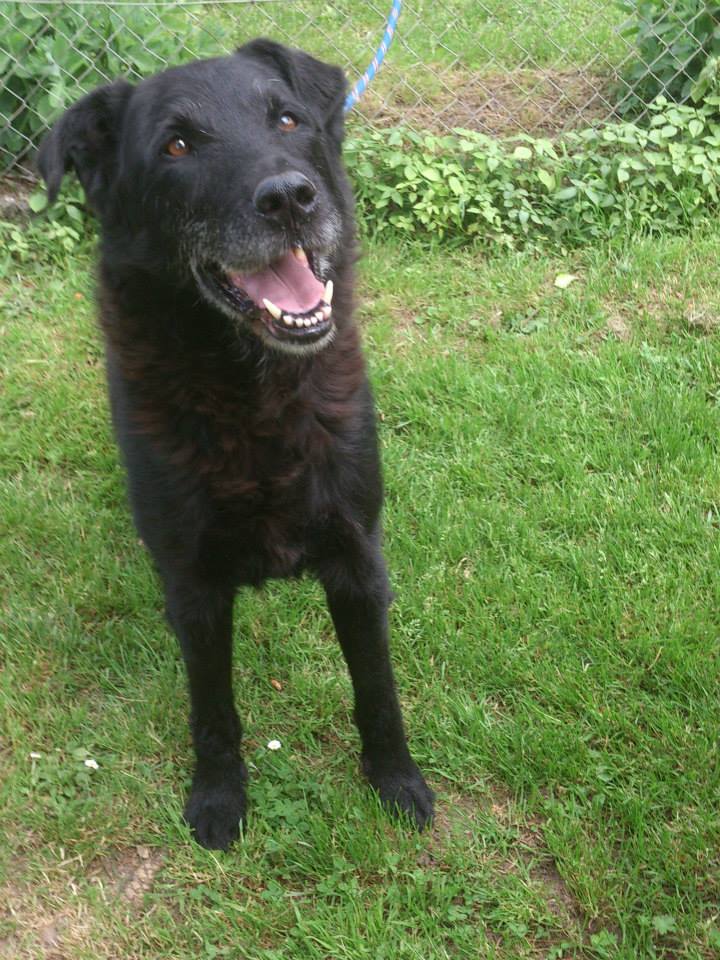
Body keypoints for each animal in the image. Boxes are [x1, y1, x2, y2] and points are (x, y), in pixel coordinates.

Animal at [38, 39, 434, 848]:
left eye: (286, 120)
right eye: (176, 146)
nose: (289, 199)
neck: (256, 394)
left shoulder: (357, 559)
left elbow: (377, 688)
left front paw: (396, 780)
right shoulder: (194, 585)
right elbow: (213, 709)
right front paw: (219, 798)